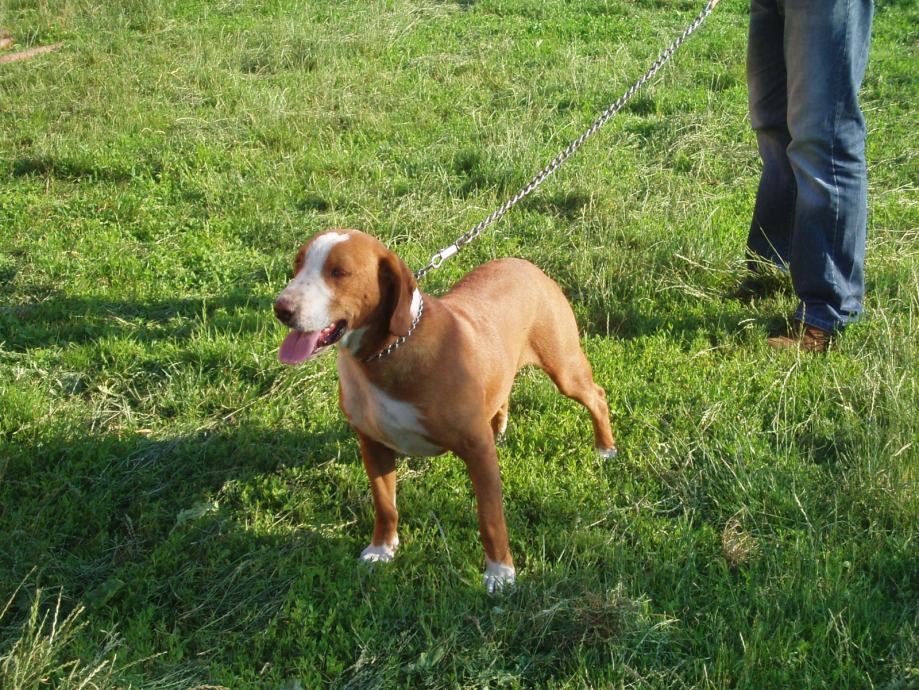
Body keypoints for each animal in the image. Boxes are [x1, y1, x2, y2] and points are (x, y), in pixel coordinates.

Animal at [274, 229, 617, 591]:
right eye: (298, 264)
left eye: (339, 272)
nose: (281, 308)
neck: (386, 354)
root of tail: (526, 265)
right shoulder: (373, 445)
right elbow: (385, 505)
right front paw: (382, 549)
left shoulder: (477, 451)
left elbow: (490, 518)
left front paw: (500, 572)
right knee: (503, 392)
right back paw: (500, 428)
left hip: (565, 368)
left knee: (596, 396)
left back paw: (605, 448)